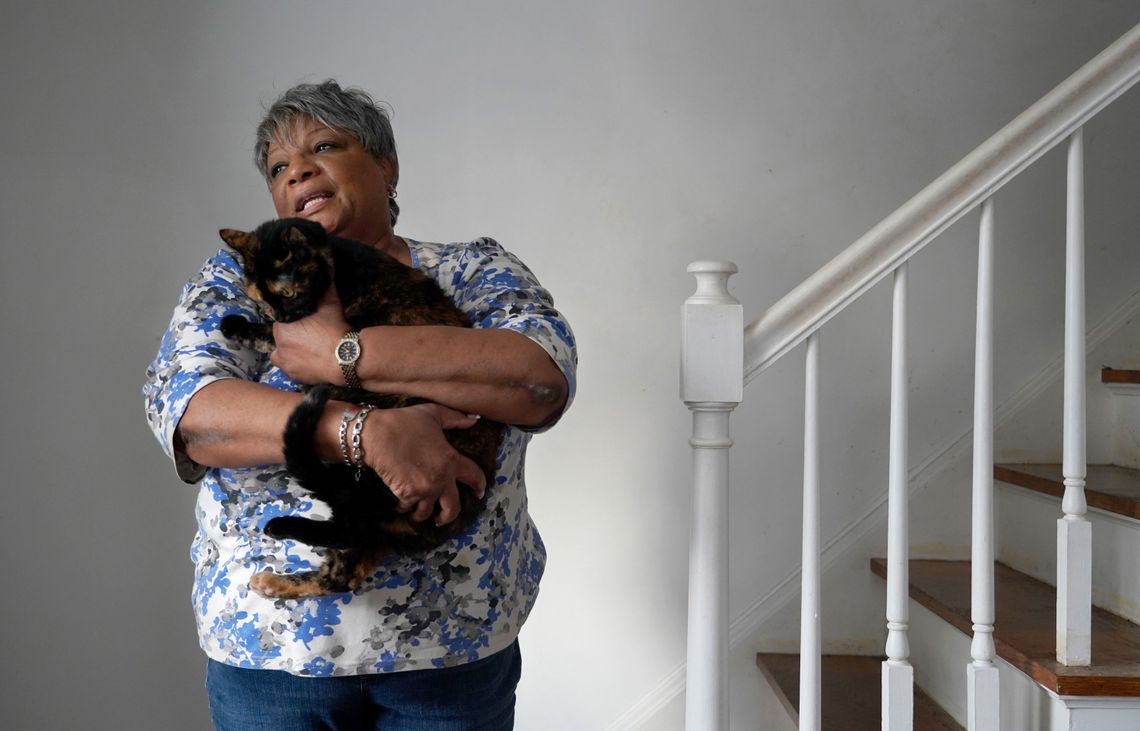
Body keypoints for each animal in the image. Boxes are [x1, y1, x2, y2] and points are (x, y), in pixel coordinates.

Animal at [216, 216, 499, 597]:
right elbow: (266, 332)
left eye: (289, 295)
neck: (337, 257)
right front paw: (244, 323)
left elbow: (267, 336)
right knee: (340, 571)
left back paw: (278, 528)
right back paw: (274, 581)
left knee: (344, 531)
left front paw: (237, 324)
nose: (285, 318)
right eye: (264, 302)